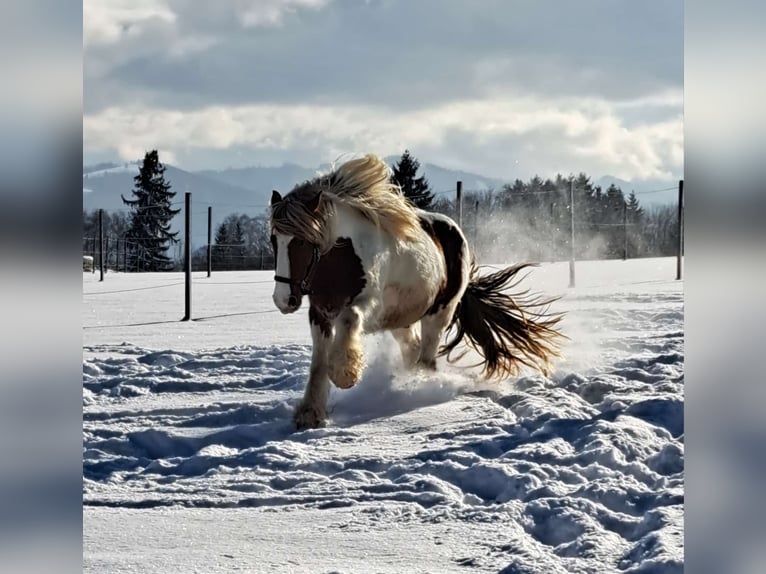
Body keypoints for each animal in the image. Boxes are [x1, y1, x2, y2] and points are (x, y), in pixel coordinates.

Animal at [269, 154, 564, 429]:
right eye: (274, 240)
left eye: (302, 242)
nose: (284, 300)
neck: (342, 257)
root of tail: (455, 232)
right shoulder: (319, 312)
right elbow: (318, 361)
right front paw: (310, 414)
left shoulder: (368, 304)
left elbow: (349, 319)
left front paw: (345, 374)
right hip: (403, 319)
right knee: (412, 351)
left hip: (440, 313)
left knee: (427, 359)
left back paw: (417, 390)